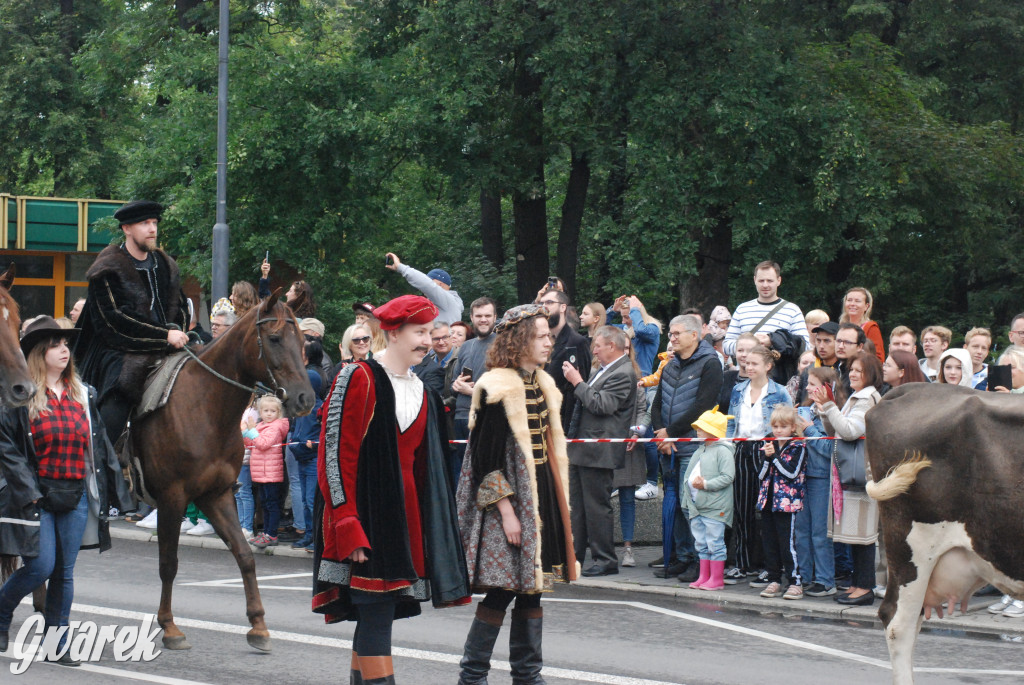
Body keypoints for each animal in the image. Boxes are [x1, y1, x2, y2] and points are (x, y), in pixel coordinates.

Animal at [132, 290, 315, 651]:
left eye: (303, 341)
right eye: (274, 338)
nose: (305, 399)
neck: (205, 408)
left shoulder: (215, 495)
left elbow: (244, 554)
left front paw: (258, 625)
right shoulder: (173, 497)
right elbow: (169, 562)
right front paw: (169, 626)